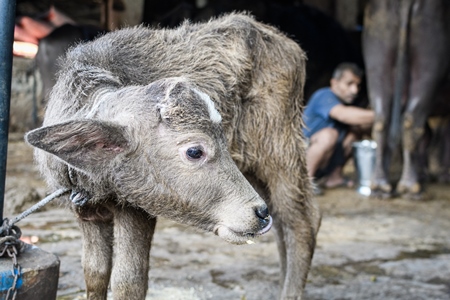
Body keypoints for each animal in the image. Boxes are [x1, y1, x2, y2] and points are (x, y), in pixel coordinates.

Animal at [364, 0, 448, 199]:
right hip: (428, 63)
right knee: (412, 121)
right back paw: (411, 186)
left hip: (377, 57)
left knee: (381, 121)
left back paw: (380, 185)